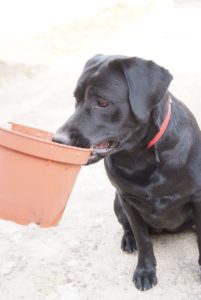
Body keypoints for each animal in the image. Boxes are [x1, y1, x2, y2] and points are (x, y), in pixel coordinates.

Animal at [52, 54, 201, 290]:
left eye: (103, 103)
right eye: (76, 99)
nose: (58, 140)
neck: (141, 155)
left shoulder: (197, 197)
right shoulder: (128, 200)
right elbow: (143, 238)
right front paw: (145, 270)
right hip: (117, 203)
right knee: (128, 228)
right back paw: (128, 240)